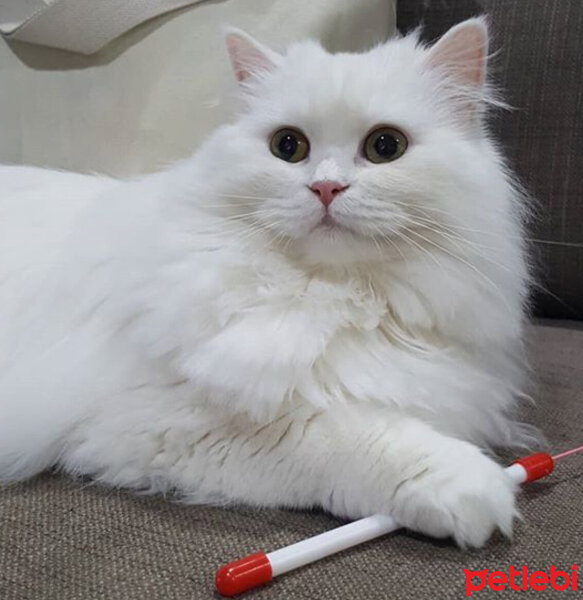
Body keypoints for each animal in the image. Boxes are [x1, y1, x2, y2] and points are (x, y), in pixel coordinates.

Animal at [0, 18, 532, 548]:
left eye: (386, 146)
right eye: (288, 146)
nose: (326, 188)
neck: (338, 296)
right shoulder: (164, 419)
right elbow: (352, 435)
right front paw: (475, 488)